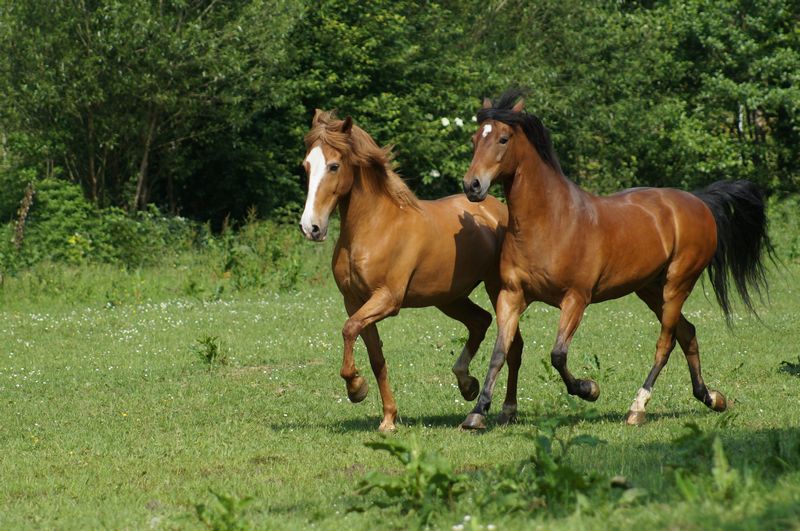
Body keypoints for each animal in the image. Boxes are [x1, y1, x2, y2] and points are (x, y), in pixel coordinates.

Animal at [304, 111, 520, 432]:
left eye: (334, 166)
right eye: (306, 165)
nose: (311, 227)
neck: (375, 227)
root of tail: (497, 210)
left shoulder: (387, 299)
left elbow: (348, 329)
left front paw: (356, 388)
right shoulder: (355, 302)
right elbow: (375, 356)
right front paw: (388, 418)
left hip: (498, 289)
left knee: (512, 345)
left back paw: (506, 410)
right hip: (448, 298)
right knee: (480, 322)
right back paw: (467, 384)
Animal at [462, 91, 776, 430]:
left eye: (503, 138)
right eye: (474, 139)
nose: (472, 185)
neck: (550, 221)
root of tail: (698, 202)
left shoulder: (576, 299)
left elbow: (558, 354)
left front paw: (589, 389)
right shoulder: (511, 295)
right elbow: (500, 352)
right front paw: (478, 411)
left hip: (677, 285)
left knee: (665, 343)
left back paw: (638, 407)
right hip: (650, 289)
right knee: (688, 333)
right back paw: (712, 398)